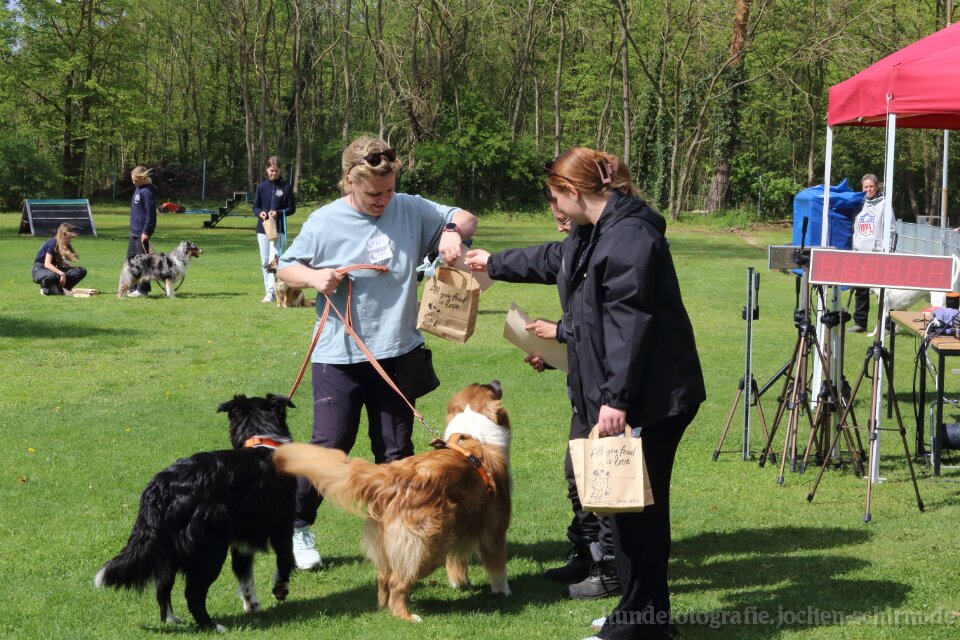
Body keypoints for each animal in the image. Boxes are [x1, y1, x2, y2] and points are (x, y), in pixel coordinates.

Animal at [94, 394, 297, 632]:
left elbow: (245, 575)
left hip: (167, 548)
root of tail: (161, 487)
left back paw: (172, 620)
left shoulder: (241, 541)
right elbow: (285, 558)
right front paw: (280, 590)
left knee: (162, 585)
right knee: (193, 593)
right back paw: (212, 626)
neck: (261, 439)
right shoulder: (282, 524)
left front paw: (252, 605)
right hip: (210, 547)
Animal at [273, 381, 512, 622]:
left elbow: (456, 561)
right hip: (428, 544)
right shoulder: (494, 525)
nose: (497, 381)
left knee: (383, 577)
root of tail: (390, 478)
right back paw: (406, 616)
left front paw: (460, 583)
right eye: (490, 388)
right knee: (398, 581)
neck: (471, 435)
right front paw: (503, 591)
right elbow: (497, 564)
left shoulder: (464, 524)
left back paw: (382, 607)